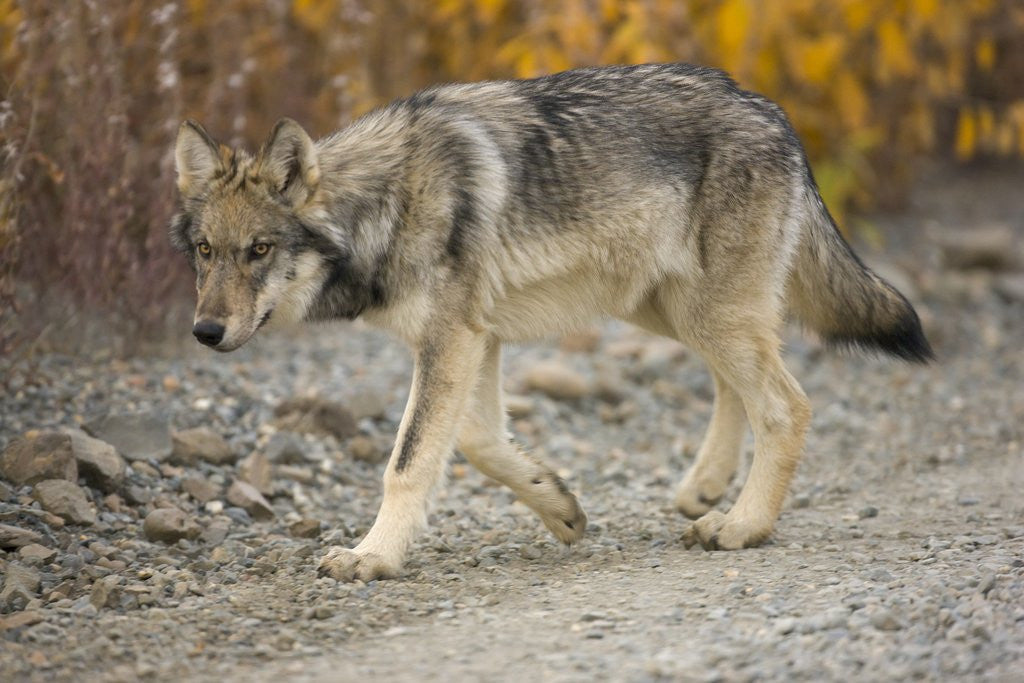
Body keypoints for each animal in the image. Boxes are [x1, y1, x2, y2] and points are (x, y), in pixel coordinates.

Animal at [170, 63, 931, 581]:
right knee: (734, 387)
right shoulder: (476, 339)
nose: (204, 333)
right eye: (205, 251)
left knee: (786, 405)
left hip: (707, 314)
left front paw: (372, 557)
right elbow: (479, 442)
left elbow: (407, 462)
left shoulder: (452, 340)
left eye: (259, 250)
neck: (386, 201)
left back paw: (742, 525)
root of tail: (775, 113)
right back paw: (707, 490)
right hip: (676, 312)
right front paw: (560, 506)